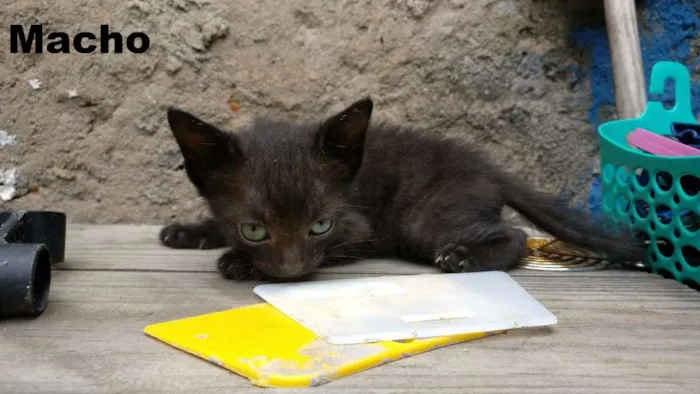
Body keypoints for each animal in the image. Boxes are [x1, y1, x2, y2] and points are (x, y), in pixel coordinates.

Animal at [160, 97, 644, 282]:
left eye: (320, 226)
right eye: (255, 229)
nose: (294, 271)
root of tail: (487, 166)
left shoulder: (357, 229)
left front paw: (237, 263)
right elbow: (216, 222)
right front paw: (188, 231)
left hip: (421, 219)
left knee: (517, 236)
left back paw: (462, 257)